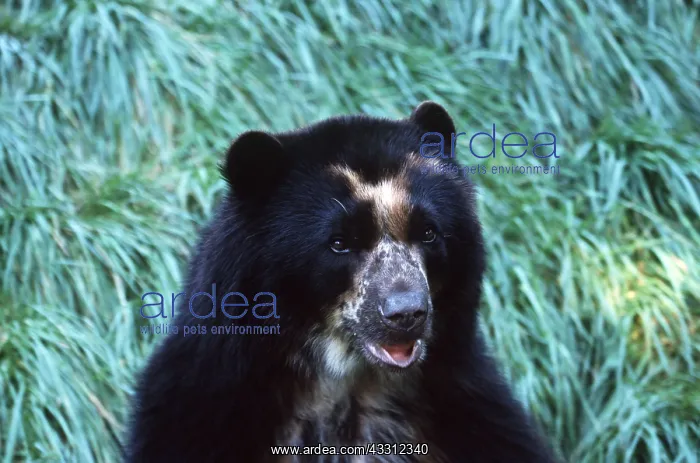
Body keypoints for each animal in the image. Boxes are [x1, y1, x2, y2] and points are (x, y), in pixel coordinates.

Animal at [124, 101, 559, 463]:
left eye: (429, 233)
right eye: (338, 242)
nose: (407, 313)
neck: (345, 381)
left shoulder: (468, 416)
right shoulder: (204, 410)